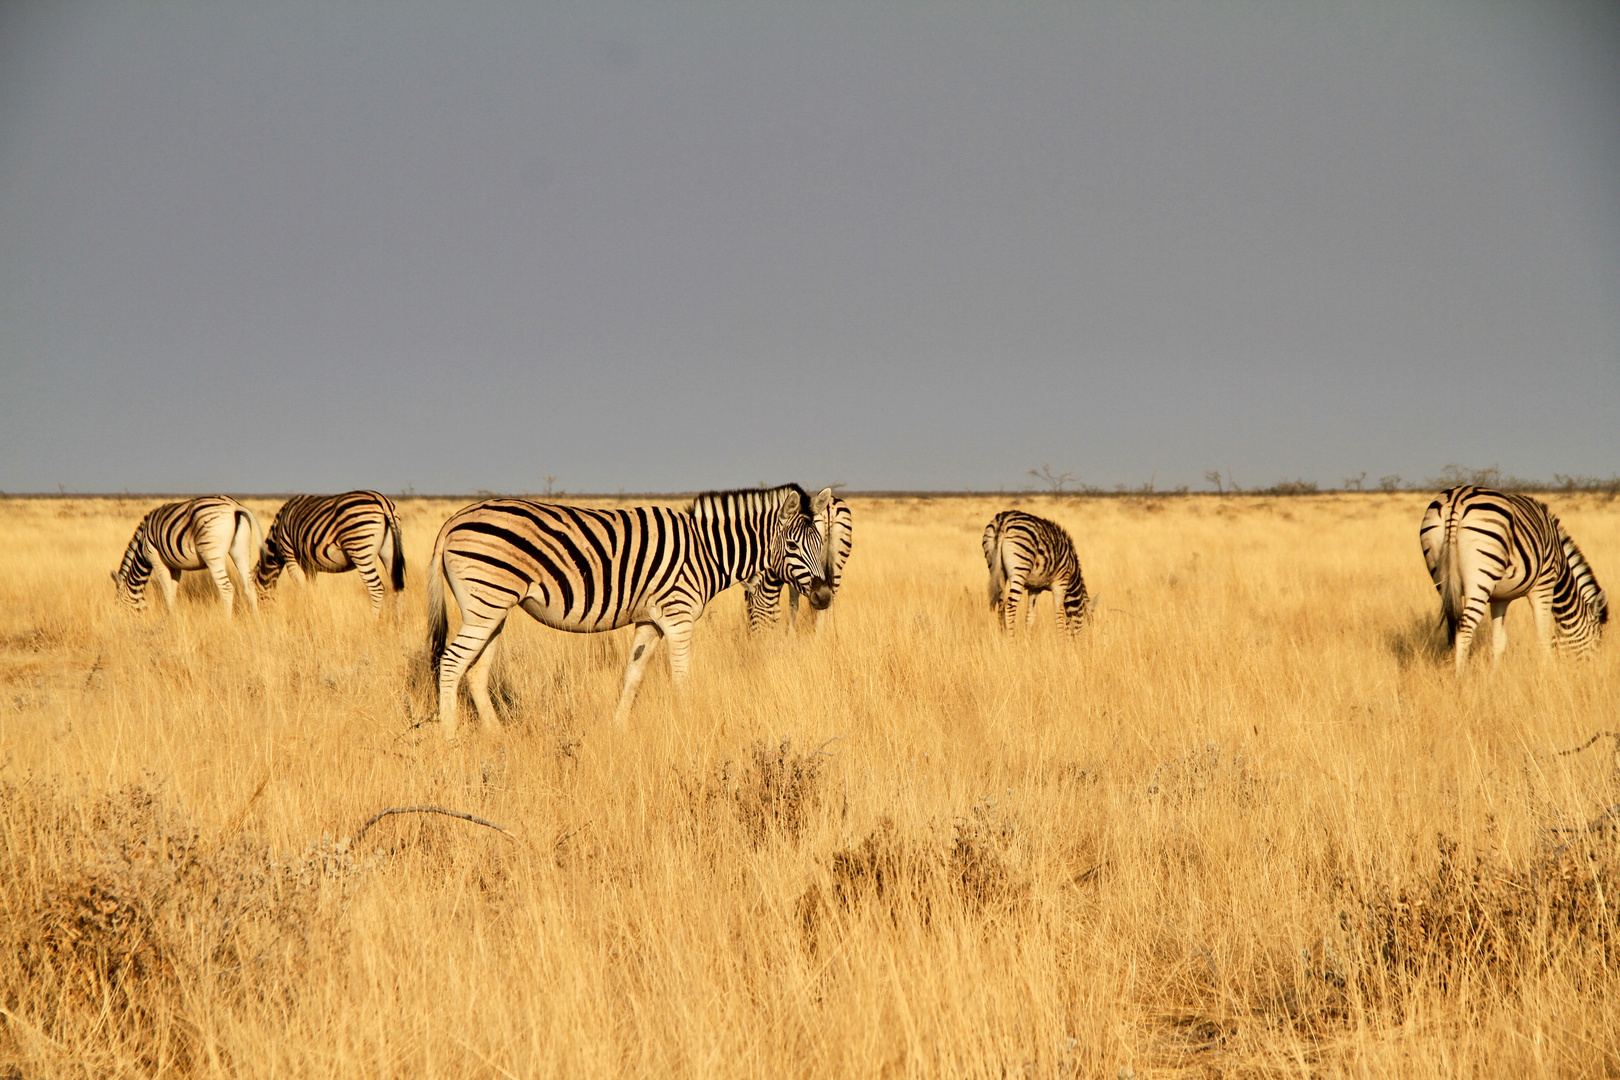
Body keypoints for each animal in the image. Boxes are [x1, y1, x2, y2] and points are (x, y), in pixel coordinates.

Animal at [110, 498, 264, 615]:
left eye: (118, 604)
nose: (118, 622)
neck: (142, 546)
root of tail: (234, 506)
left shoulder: (156, 560)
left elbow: (167, 592)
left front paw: (171, 620)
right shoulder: (175, 566)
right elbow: (173, 592)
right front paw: (172, 616)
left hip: (212, 555)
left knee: (226, 588)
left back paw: (227, 622)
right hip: (240, 550)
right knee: (250, 584)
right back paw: (256, 619)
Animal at [255, 488, 405, 615]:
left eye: (257, 597)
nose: (260, 618)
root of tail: (382, 501)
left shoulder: (290, 555)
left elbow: (301, 588)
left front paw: (304, 611)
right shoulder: (309, 565)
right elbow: (311, 589)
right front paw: (313, 609)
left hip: (360, 547)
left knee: (376, 588)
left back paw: (372, 621)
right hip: (389, 551)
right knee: (397, 588)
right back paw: (398, 623)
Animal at [424, 485, 835, 738]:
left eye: (821, 542)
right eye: (794, 545)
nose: (824, 596)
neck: (706, 551)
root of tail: (453, 520)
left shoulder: (650, 621)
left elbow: (632, 677)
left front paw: (618, 730)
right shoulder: (678, 616)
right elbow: (681, 679)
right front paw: (688, 726)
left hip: (493, 609)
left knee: (476, 671)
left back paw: (497, 736)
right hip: (486, 604)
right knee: (451, 662)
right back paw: (450, 737)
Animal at [741, 492, 855, 634]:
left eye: (750, 610)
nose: (751, 636)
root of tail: (829, 506)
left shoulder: (795, 575)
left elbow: (793, 603)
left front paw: (790, 633)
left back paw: (818, 633)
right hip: (837, 563)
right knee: (831, 598)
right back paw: (829, 631)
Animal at [1419, 485, 1607, 670]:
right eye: (1597, 642)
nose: (1591, 670)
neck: (1560, 562)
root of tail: (1456, 500)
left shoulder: (1499, 598)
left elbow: (1498, 641)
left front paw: (1494, 675)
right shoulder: (1544, 586)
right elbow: (1543, 637)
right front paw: (1548, 671)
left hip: (1442, 575)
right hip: (1480, 577)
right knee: (1464, 626)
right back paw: (1460, 675)